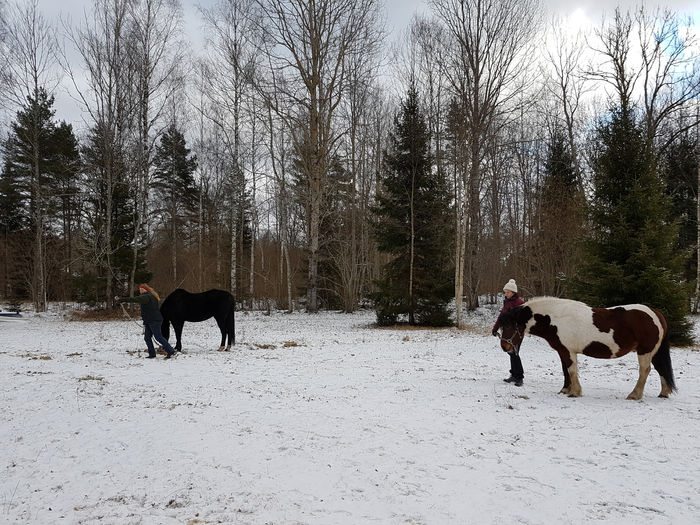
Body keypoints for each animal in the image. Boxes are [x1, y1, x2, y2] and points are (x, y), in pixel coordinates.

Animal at [496, 297, 676, 400]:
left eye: (510, 325)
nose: (505, 346)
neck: (556, 318)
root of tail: (656, 313)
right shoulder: (563, 351)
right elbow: (565, 370)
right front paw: (566, 389)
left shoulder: (568, 351)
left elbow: (571, 370)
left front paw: (574, 392)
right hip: (654, 352)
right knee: (660, 369)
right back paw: (664, 393)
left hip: (645, 351)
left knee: (645, 371)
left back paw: (634, 395)